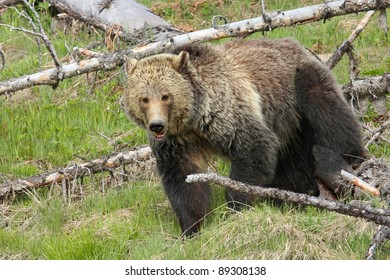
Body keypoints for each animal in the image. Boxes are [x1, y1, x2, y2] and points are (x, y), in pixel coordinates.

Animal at [122, 38, 366, 236]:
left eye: (166, 95)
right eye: (144, 98)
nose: (156, 125)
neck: (193, 119)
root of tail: (296, 44)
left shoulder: (227, 114)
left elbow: (253, 149)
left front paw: (236, 207)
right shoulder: (178, 143)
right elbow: (184, 180)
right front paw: (192, 227)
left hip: (297, 88)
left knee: (332, 119)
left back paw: (352, 161)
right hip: (288, 127)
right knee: (292, 164)